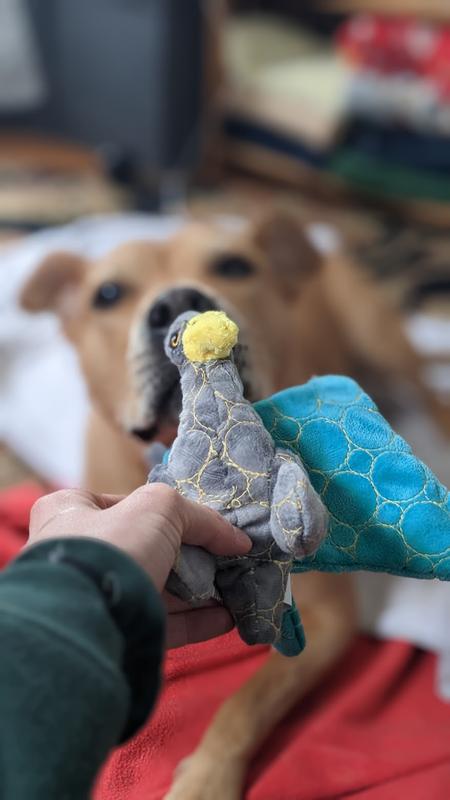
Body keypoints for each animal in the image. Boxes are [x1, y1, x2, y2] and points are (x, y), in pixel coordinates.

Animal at [19, 209, 448, 796]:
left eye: (234, 265)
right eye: (107, 293)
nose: (179, 303)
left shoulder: (328, 617)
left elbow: (247, 701)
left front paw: (205, 779)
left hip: (379, 336)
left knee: (431, 393)